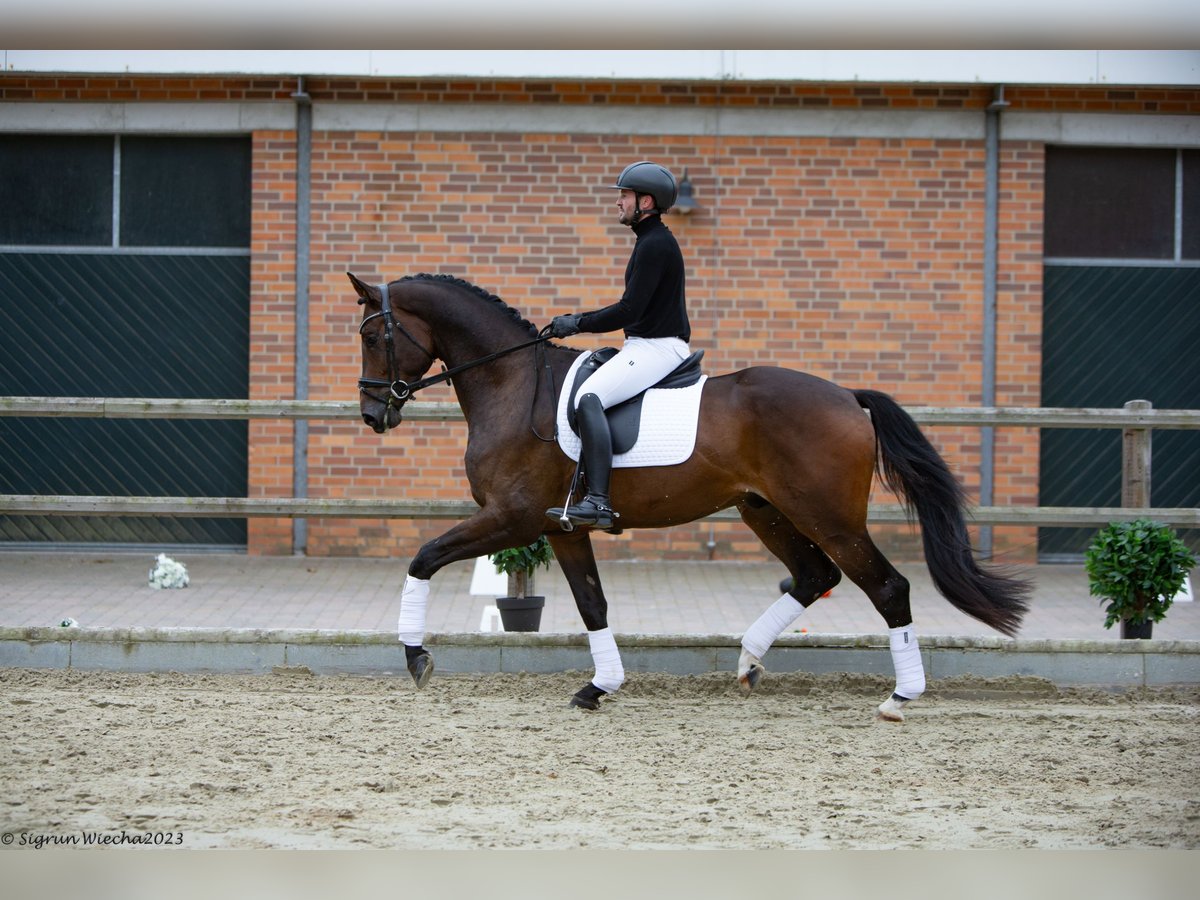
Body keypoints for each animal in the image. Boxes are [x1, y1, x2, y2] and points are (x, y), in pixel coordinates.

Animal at [350, 271, 1032, 724]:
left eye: (374, 337)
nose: (372, 414)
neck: (513, 383)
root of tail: (846, 396)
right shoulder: (562, 527)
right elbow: (592, 604)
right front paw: (600, 686)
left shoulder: (511, 519)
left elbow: (422, 558)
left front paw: (416, 657)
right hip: (765, 510)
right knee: (815, 576)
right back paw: (749, 662)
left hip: (828, 515)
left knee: (886, 586)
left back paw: (898, 697)